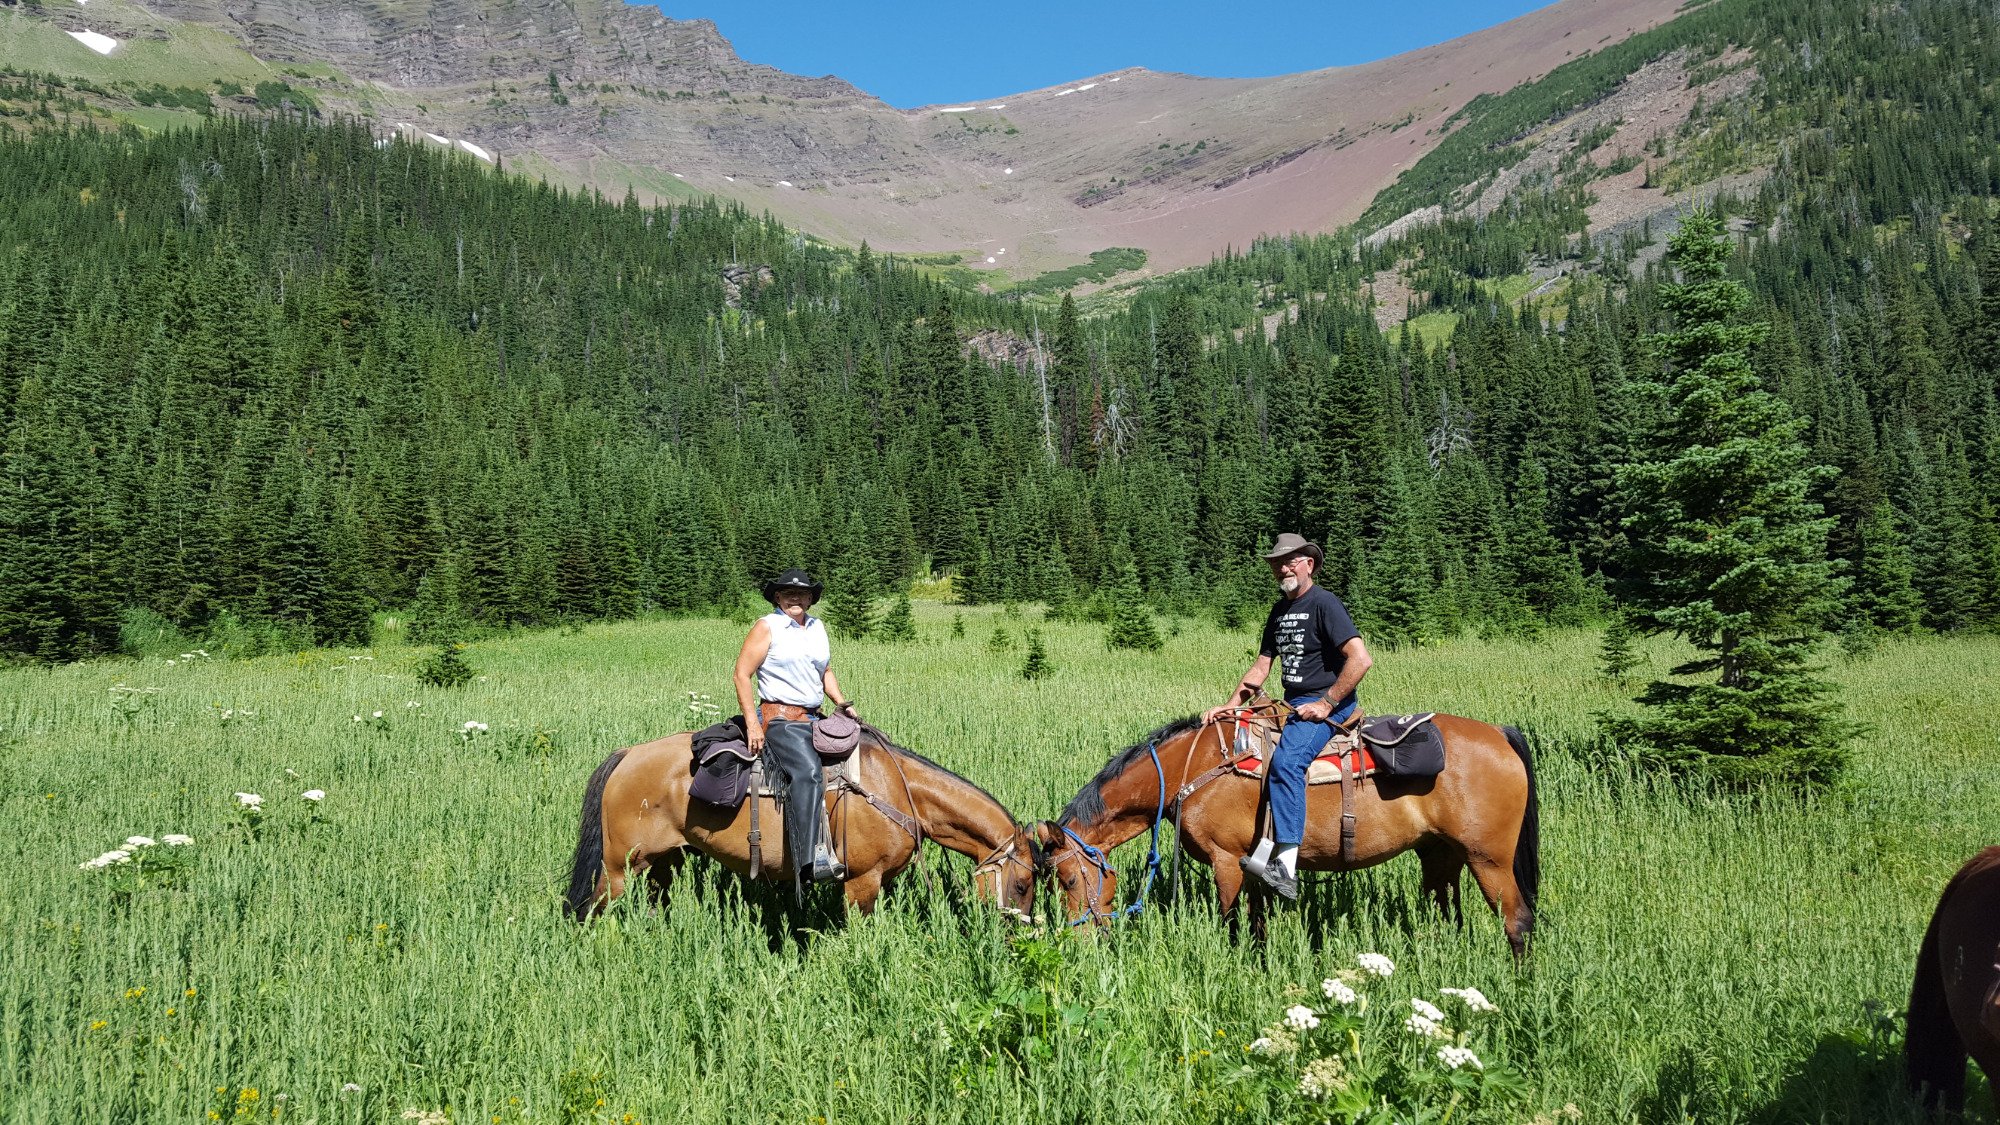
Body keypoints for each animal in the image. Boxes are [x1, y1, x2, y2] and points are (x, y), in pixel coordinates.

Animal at [560, 728, 1040, 920]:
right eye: (1022, 884)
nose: (1013, 934)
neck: (899, 794)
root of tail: (627, 755)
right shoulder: (861, 882)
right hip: (618, 868)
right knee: (592, 912)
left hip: (665, 861)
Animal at [1040, 700, 1536, 952]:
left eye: (1068, 879)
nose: (1079, 940)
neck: (1193, 770)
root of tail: (1500, 733)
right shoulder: (1251, 866)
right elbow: (1257, 923)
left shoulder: (1226, 861)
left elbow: (1234, 925)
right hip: (1440, 855)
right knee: (1446, 915)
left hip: (1489, 859)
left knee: (1518, 922)